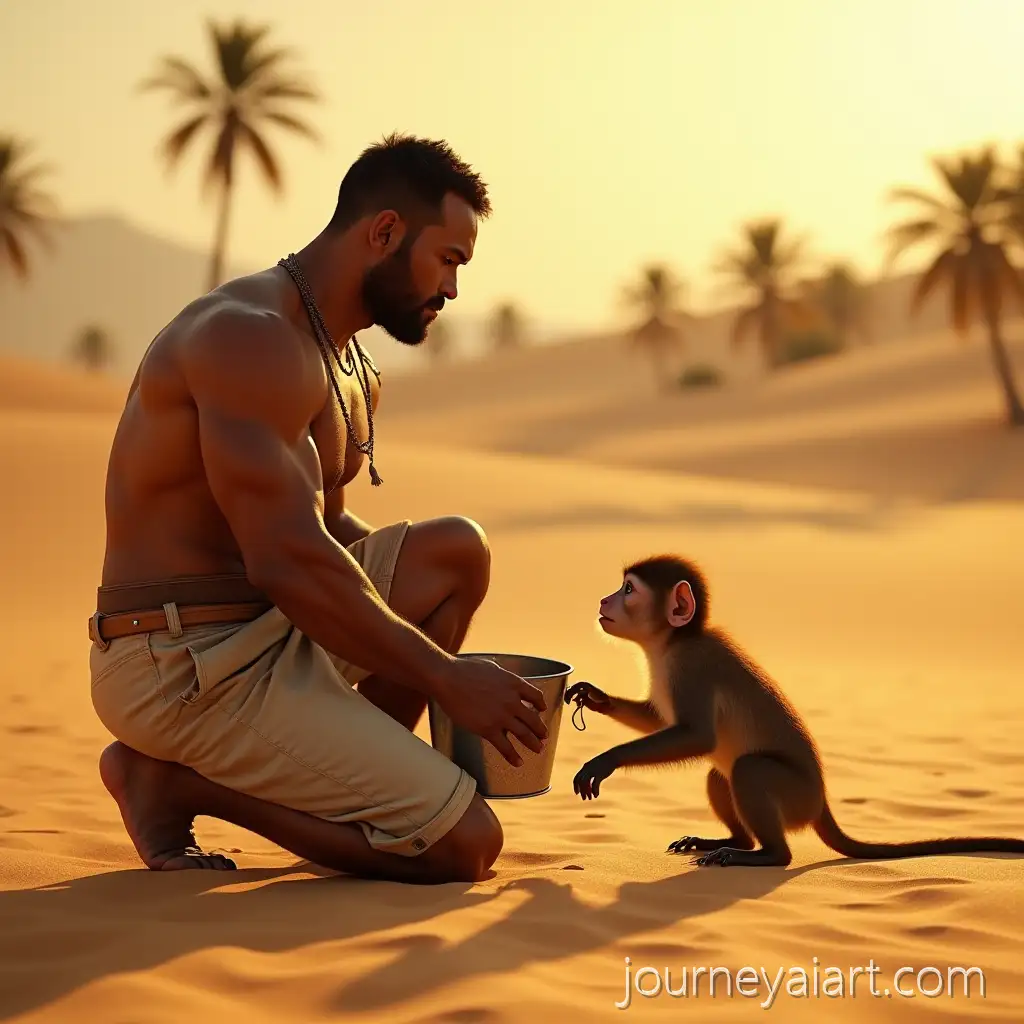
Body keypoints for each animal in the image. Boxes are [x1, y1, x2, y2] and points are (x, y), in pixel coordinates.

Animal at [566, 553, 1024, 868]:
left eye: (628, 590)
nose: (604, 600)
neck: (672, 643)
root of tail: (819, 802)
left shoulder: (692, 666)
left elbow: (698, 736)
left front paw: (604, 761)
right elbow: (661, 721)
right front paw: (595, 697)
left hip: (795, 796)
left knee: (748, 769)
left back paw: (767, 854)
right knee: (721, 773)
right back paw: (734, 842)